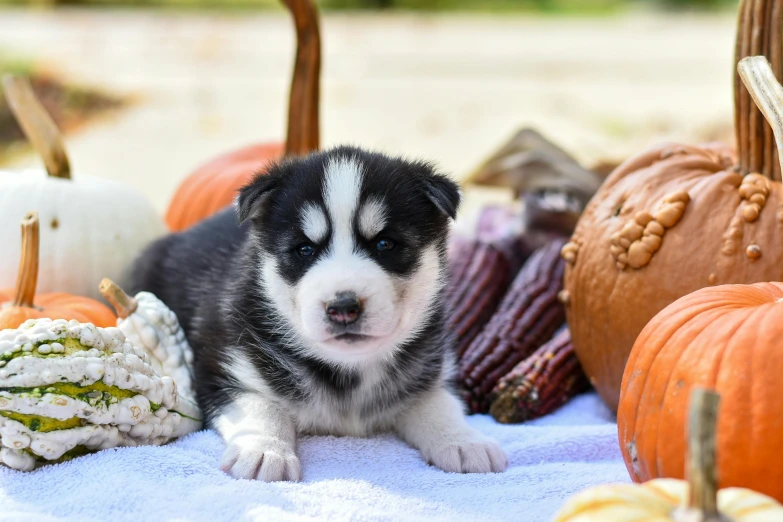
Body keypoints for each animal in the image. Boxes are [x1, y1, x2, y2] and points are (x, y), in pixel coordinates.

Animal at [129, 145, 508, 480]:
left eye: (385, 244)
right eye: (304, 249)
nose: (343, 307)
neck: (349, 371)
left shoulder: (427, 371)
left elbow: (439, 403)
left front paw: (464, 440)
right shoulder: (220, 369)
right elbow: (260, 405)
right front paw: (265, 450)